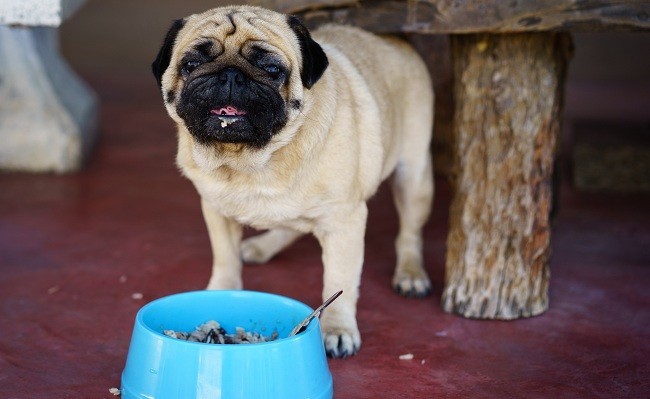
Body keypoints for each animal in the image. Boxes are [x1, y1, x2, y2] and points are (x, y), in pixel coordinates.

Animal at [152, 4, 432, 358]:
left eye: (272, 69)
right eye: (190, 65)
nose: (229, 75)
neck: (254, 160)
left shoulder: (344, 222)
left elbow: (339, 280)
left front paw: (338, 329)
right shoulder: (216, 210)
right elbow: (225, 258)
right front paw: (220, 291)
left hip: (414, 176)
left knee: (410, 233)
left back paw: (411, 273)